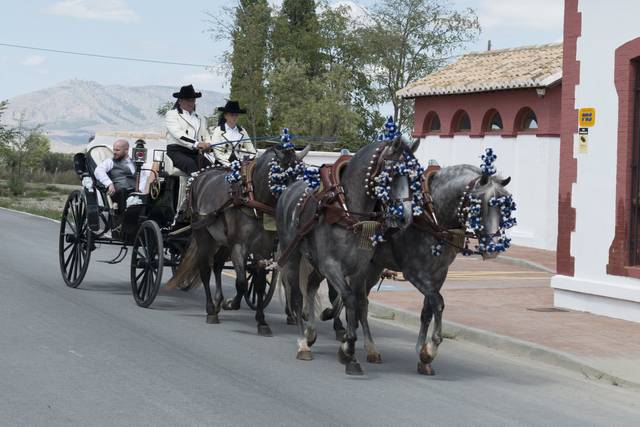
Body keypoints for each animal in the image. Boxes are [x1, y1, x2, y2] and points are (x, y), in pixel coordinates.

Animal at [168, 145, 310, 336]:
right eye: (282, 176)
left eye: (303, 175)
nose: (296, 205)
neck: (251, 195)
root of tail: (200, 175)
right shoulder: (238, 246)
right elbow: (241, 282)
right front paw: (231, 303)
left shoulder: (263, 249)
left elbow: (259, 284)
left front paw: (262, 321)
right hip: (203, 235)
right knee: (205, 270)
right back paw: (211, 310)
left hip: (222, 242)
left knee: (217, 265)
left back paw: (218, 301)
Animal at [276, 136, 420, 374]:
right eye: (391, 174)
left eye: (414, 175)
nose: (405, 217)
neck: (347, 211)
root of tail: (289, 189)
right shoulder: (331, 265)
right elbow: (349, 298)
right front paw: (348, 349)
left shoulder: (360, 269)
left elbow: (360, 303)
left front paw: (352, 349)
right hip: (293, 255)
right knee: (296, 295)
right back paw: (303, 343)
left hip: (316, 263)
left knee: (311, 285)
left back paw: (311, 332)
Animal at [322, 166, 512, 376]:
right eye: (480, 204)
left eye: (504, 205)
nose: (494, 248)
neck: (433, 214)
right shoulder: (414, 272)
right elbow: (438, 302)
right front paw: (430, 350)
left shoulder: (439, 273)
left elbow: (427, 310)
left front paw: (422, 354)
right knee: (357, 301)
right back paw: (363, 346)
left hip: (374, 267)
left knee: (360, 301)